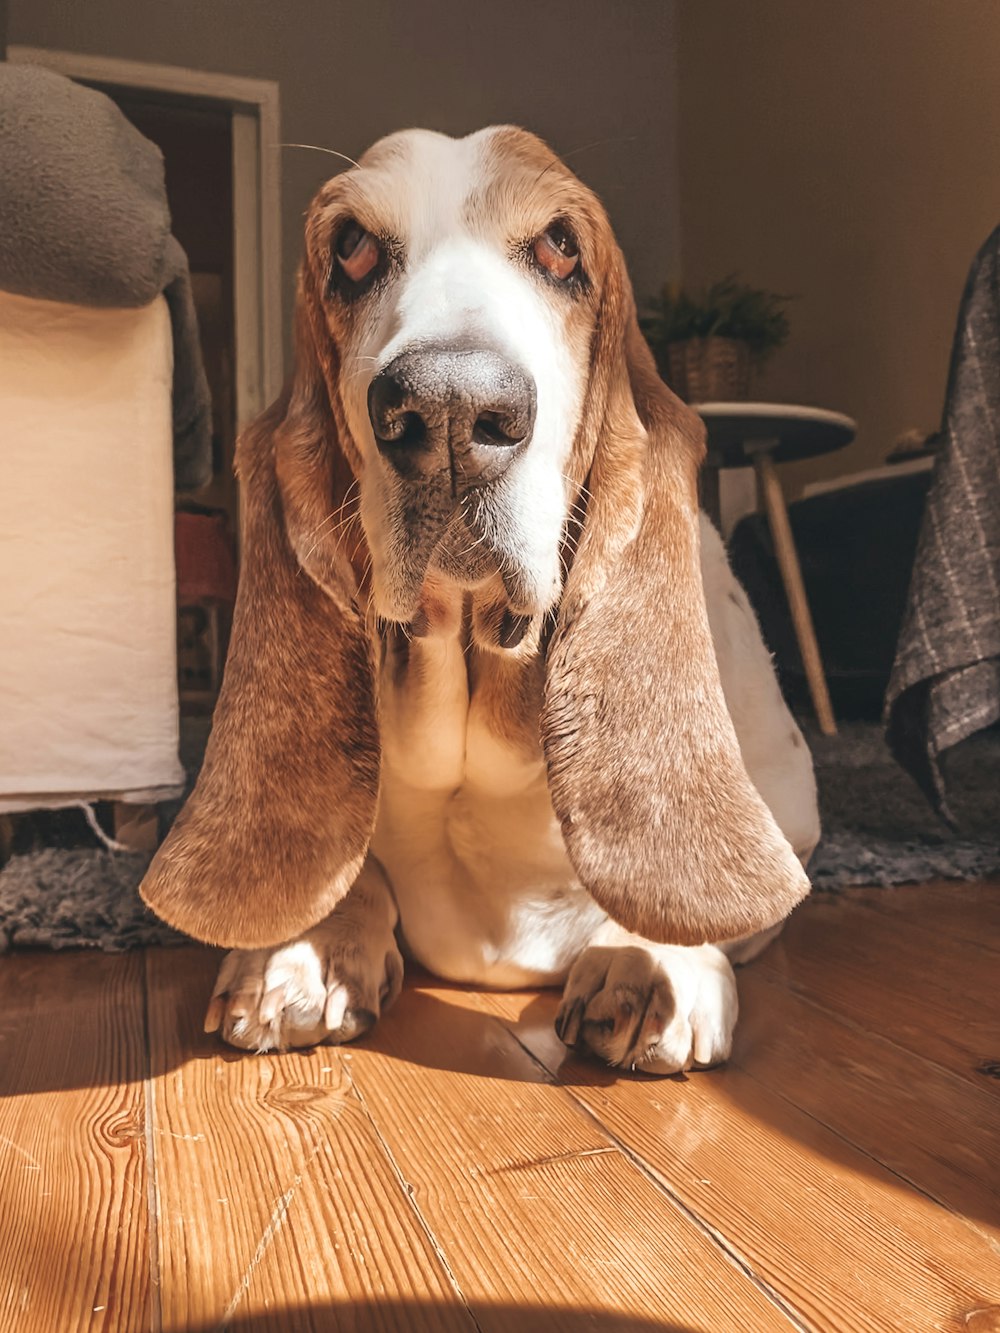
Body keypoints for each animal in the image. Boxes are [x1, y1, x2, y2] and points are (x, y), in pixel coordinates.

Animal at [141, 129, 816, 1077]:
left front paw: (653, 957)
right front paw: (302, 947)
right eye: (350, 248)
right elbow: (357, 869)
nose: (453, 408)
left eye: (562, 246)